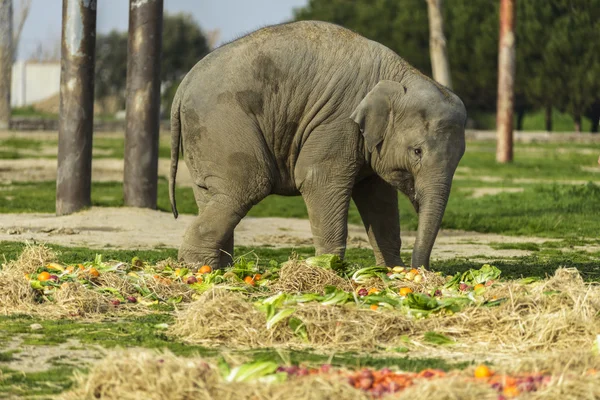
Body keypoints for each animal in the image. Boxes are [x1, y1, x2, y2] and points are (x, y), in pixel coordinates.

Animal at [166, 19, 466, 268]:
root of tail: (183, 85)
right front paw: (331, 270)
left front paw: (393, 272)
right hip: (224, 123)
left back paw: (221, 271)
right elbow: (317, 179)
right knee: (246, 186)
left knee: (213, 194)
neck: (401, 74)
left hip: (204, 137)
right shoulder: (337, 122)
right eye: (417, 151)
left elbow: (378, 197)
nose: (423, 269)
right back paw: (198, 269)